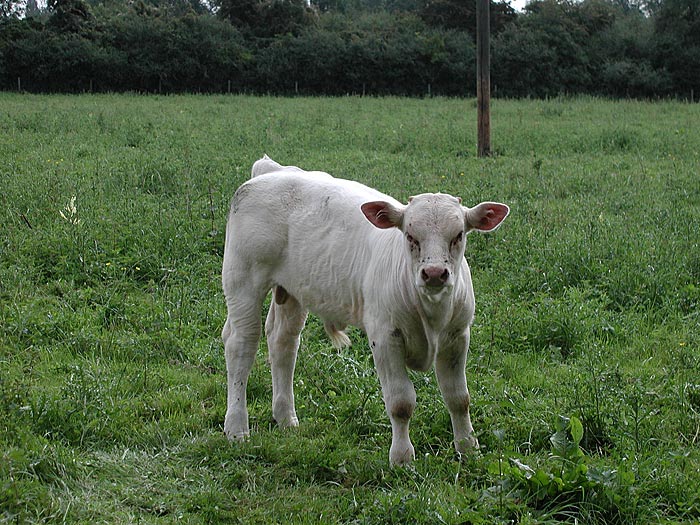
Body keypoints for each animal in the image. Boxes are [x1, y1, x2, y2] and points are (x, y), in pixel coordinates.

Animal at [223, 155, 508, 462]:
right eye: (410, 236)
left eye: (458, 235)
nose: (434, 273)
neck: (431, 312)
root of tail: (272, 170)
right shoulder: (385, 337)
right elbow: (400, 402)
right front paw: (402, 458)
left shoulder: (458, 336)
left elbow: (458, 398)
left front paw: (468, 447)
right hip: (242, 281)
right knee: (241, 346)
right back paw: (237, 428)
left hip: (293, 291)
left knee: (283, 343)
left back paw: (286, 418)